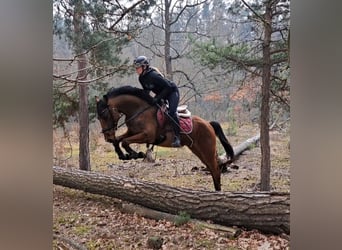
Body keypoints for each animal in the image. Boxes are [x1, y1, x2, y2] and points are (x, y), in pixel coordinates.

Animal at [97, 86, 235, 191]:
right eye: (99, 117)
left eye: (104, 114)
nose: (107, 137)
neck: (139, 111)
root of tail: (209, 124)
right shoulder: (131, 131)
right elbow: (119, 140)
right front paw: (123, 155)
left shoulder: (147, 135)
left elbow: (125, 142)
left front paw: (136, 154)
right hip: (198, 150)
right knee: (213, 168)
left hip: (207, 149)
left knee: (215, 169)